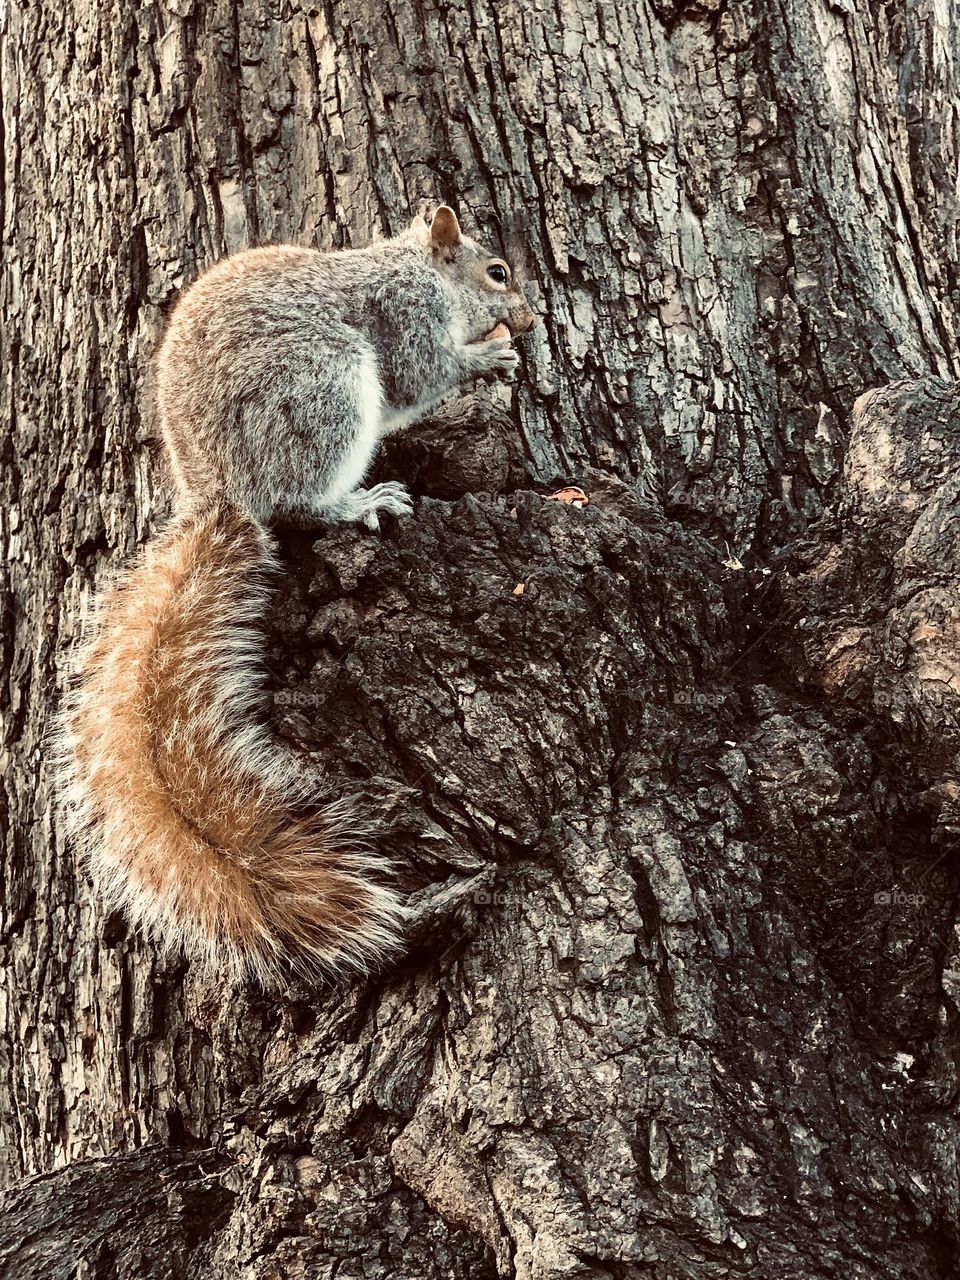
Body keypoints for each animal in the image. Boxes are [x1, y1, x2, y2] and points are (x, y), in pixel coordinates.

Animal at [59, 204, 537, 983]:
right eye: (496, 272)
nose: (525, 319)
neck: (410, 267)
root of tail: (220, 493)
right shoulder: (405, 317)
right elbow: (422, 373)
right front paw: (488, 357)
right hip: (321, 391)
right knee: (303, 499)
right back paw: (358, 502)